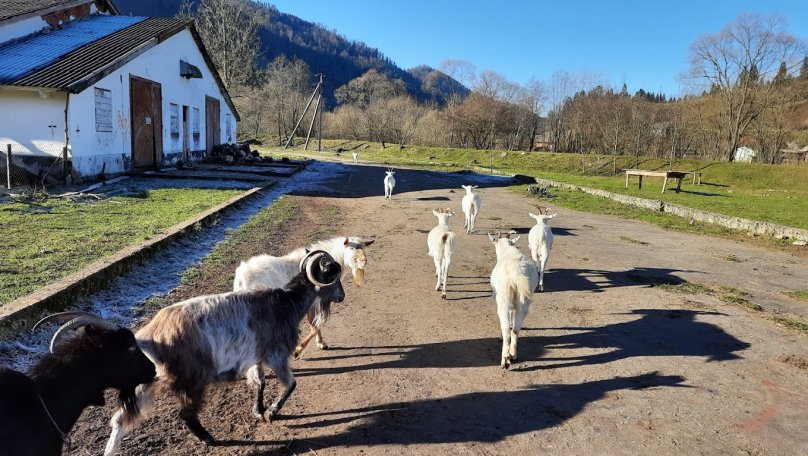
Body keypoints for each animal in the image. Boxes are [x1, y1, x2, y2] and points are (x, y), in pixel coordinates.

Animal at [102, 251, 342, 454]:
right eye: (334, 275)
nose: (342, 296)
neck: (287, 302)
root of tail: (147, 337)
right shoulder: (276, 355)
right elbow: (291, 384)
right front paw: (271, 413)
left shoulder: (256, 357)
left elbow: (260, 382)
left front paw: (258, 410)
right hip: (190, 379)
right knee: (185, 413)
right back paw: (208, 438)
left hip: (146, 381)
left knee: (120, 419)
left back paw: (111, 450)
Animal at [232, 235, 374, 356]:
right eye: (351, 248)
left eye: (364, 247)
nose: (364, 261)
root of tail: (242, 279)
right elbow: (315, 325)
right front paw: (299, 350)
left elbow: (314, 323)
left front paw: (321, 343)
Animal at [486, 233, 536, 368]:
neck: (508, 250)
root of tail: (515, 275)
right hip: (523, 303)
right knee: (515, 329)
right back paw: (513, 354)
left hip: (503, 300)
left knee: (506, 328)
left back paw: (505, 359)